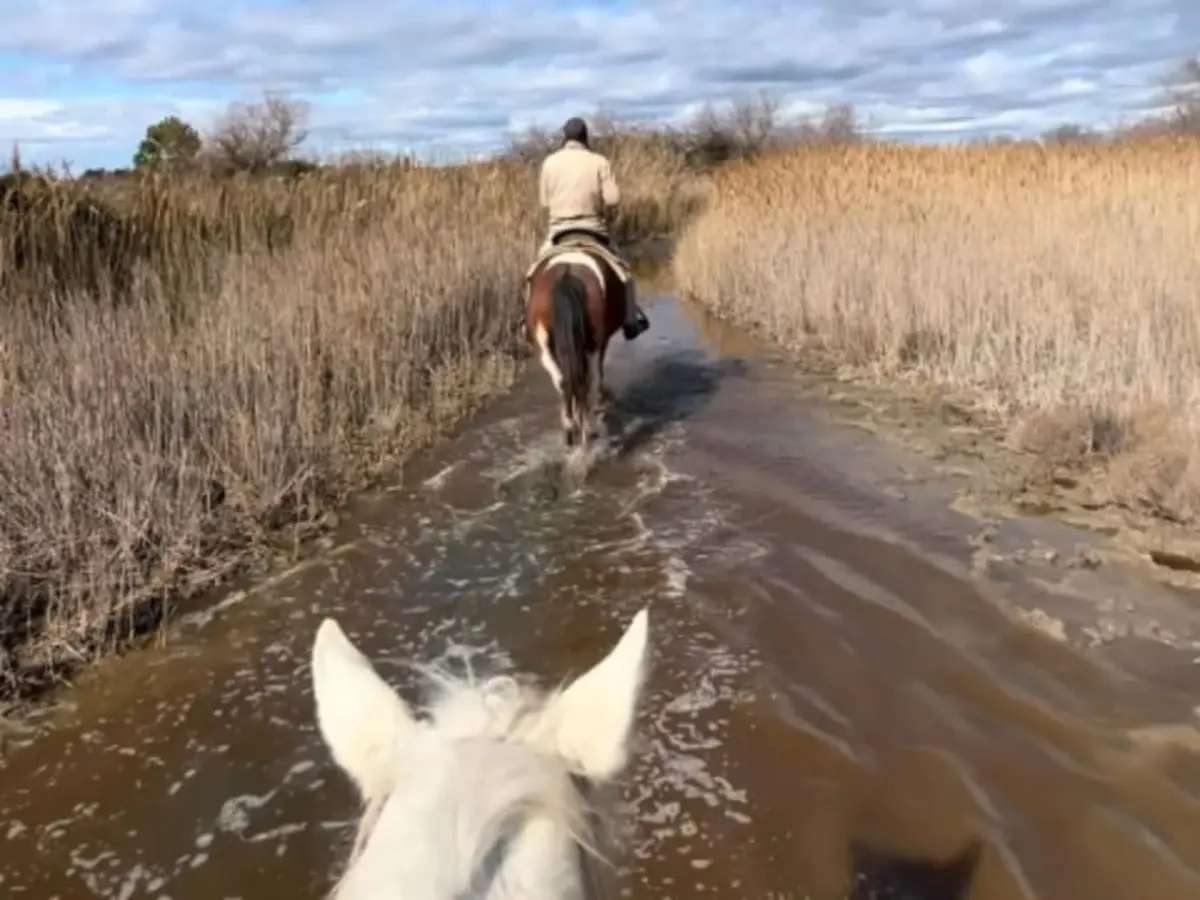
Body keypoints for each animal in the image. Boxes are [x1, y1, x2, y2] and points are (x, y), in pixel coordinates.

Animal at [524, 232, 634, 449]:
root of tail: (567, 273)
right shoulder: (601, 342)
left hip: (544, 343)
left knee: (563, 380)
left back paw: (570, 428)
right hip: (593, 343)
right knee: (588, 378)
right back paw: (589, 427)